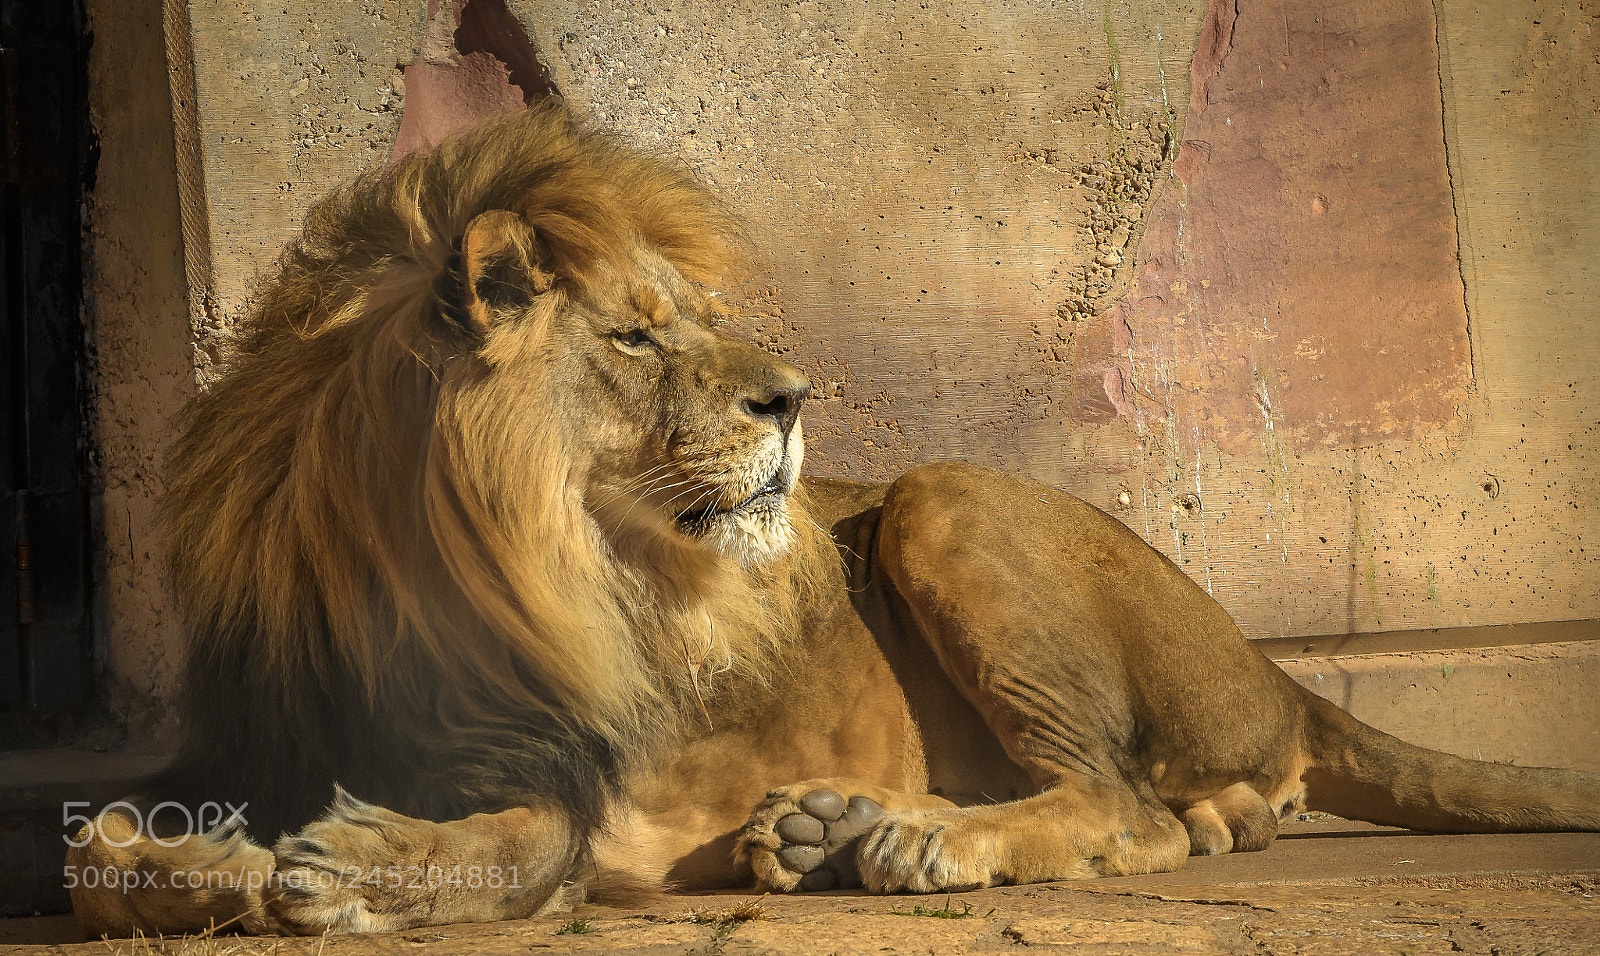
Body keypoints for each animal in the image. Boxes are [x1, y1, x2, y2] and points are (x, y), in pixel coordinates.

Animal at [69, 103, 1600, 938]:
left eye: (686, 318)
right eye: (637, 335)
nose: (795, 399)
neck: (399, 572)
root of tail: (1278, 667)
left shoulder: (563, 783)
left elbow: (502, 852)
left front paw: (341, 869)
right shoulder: (245, 738)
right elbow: (92, 851)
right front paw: (204, 866)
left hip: (943, 497)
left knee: (1123, 804)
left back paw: (912, 842)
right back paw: (824, 835)